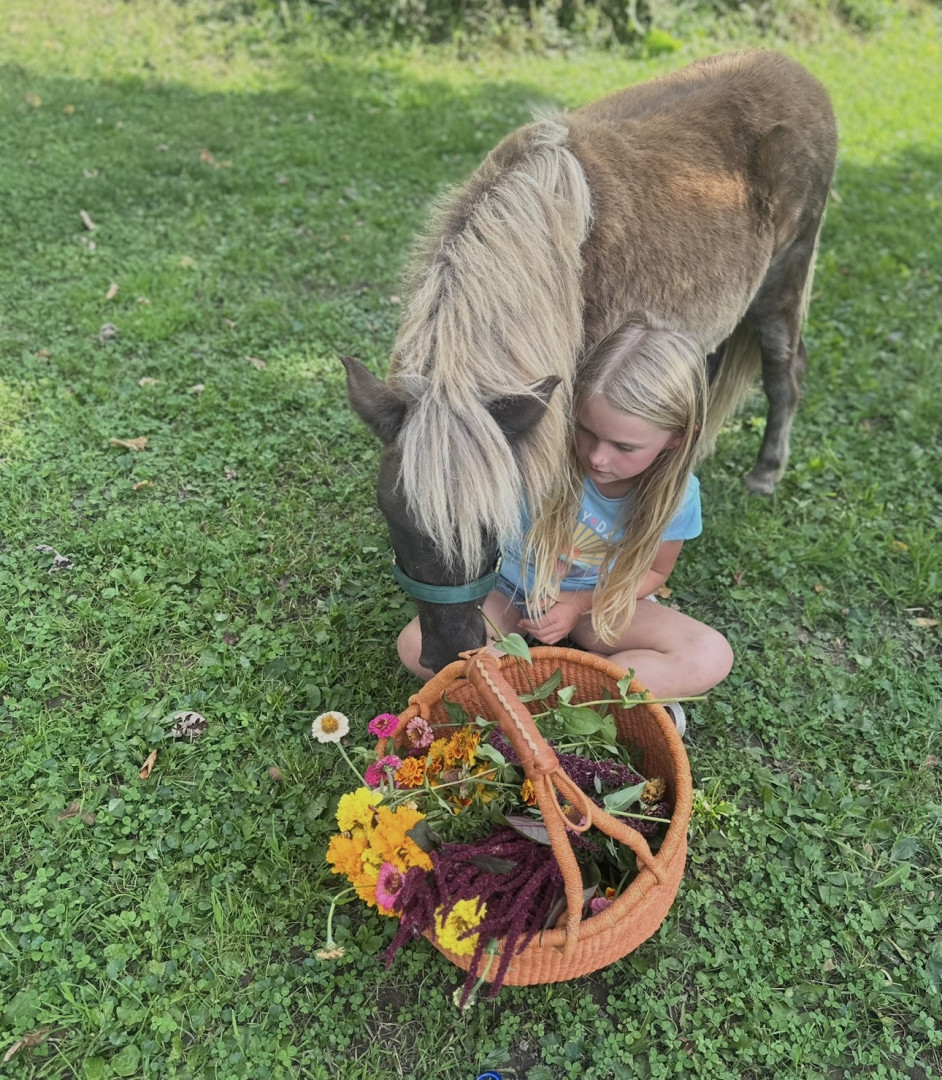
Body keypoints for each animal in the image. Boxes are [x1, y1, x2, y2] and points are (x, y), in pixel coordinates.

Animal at [344, 48, 838, 673]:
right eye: (389, 513)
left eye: (493, 523)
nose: (450, 654)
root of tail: (795, 70)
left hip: (783, 283)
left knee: (784, 376)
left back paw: (765, 473)